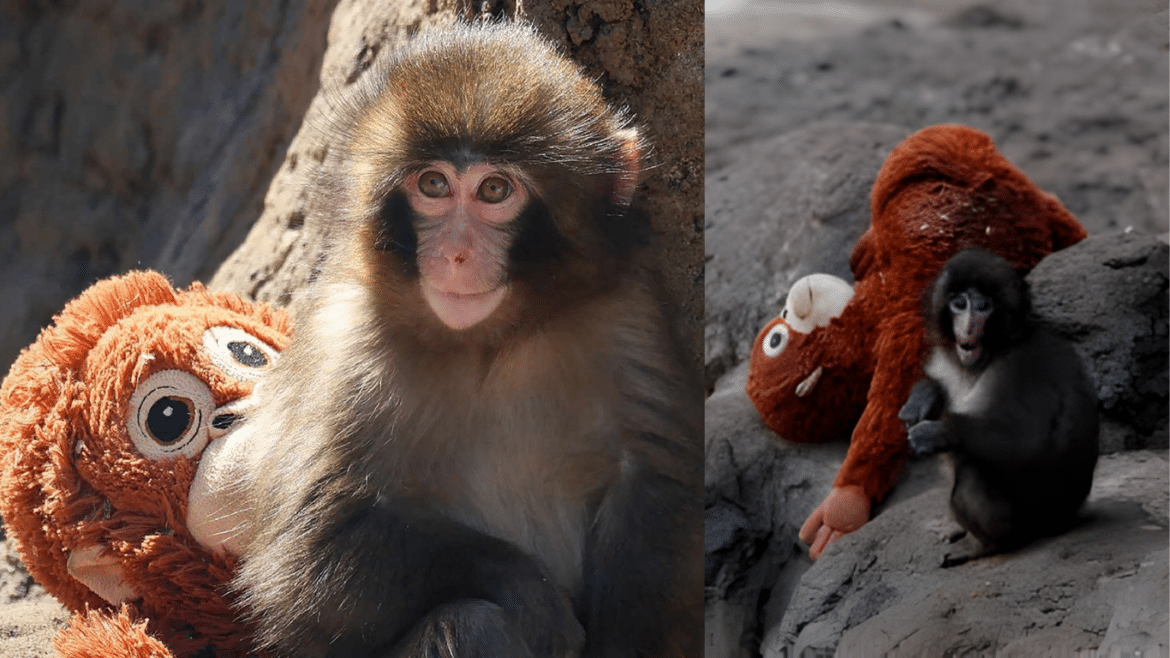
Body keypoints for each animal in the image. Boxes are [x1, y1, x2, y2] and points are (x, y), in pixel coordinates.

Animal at [228, 21, 702, 658]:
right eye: (433, 184)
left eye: (495, 191)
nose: (455, 253)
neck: (489, 342)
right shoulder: (346, 343)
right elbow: (310, 554)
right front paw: (531, 597)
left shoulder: (627, 310)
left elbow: (657, 484)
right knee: (470, 624)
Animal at [898, 248, 1098, 552]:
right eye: (959, 304)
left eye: (983, 306)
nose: (969, 327)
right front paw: (923, 397)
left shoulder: (1023, 367)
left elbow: (1030, 439)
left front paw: (936, 432)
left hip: (1030, 522)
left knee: (971, 476)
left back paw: (986, 546)